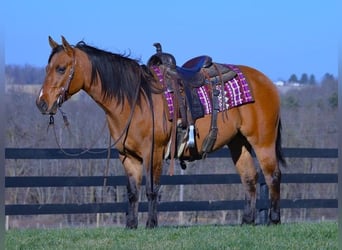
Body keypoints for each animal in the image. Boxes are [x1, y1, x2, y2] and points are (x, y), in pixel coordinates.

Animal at [36, 35, 284, 229]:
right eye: (47, 68)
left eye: (61, 68)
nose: (41, 103)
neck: (135, 100)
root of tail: (267, 82)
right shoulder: (127, 156)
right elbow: (132, 191)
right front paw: (131, 225)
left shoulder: (153, 152)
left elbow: (152, 189)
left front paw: (151, 224)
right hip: (238, 143)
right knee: (250, 177)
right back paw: (248, 221)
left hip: (263, 141)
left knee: (272, 175)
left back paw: (274, 219)